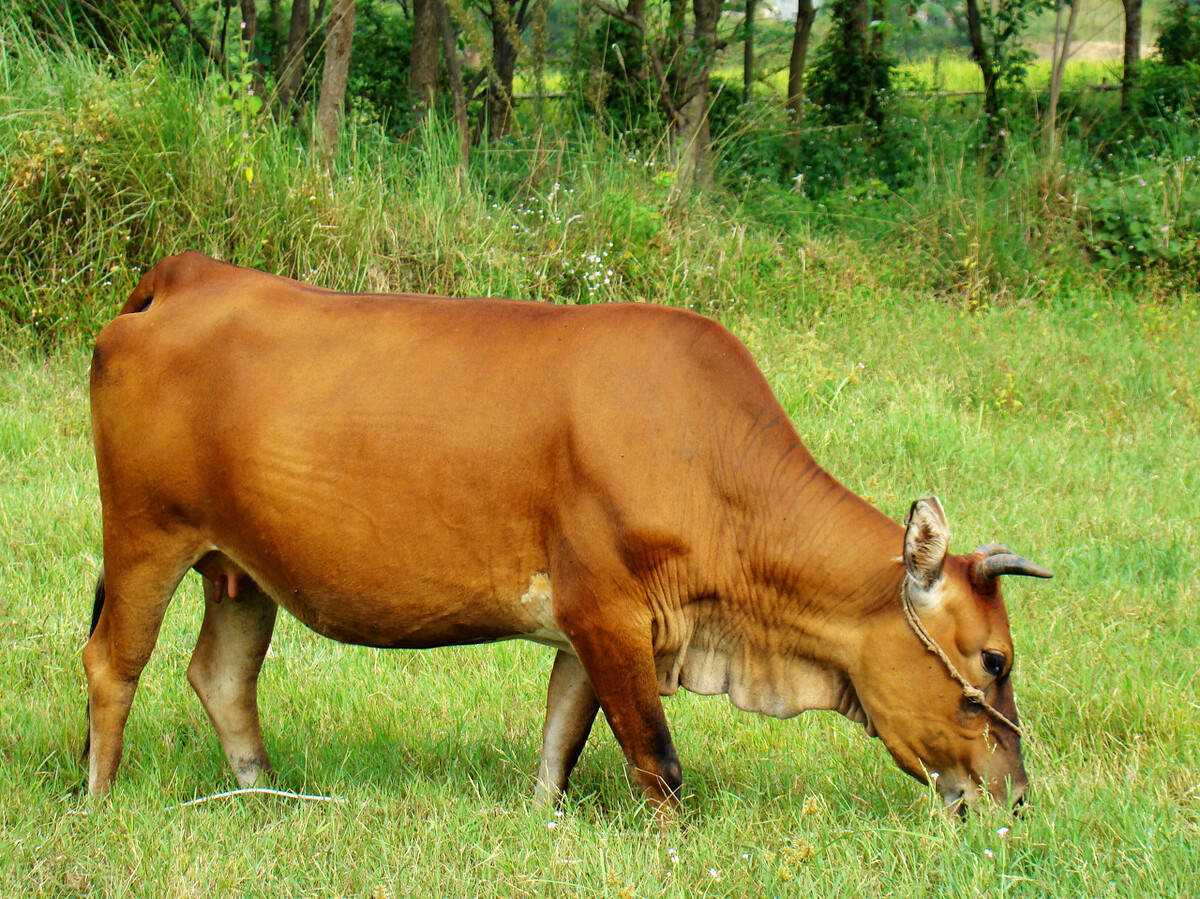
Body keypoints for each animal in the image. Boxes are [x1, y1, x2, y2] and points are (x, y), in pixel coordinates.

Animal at [84, 250, 1051, 811]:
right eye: (994, 662)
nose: (1014, 797)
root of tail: (189, 272)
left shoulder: (597, 625)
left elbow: (563, 734)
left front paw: (547, 815)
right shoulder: (607, 609)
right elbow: (654, 754)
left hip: (238, 565)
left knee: (221, 676)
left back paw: (262, 797)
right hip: (144, 535)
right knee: (112, 664)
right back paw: (98, 798)